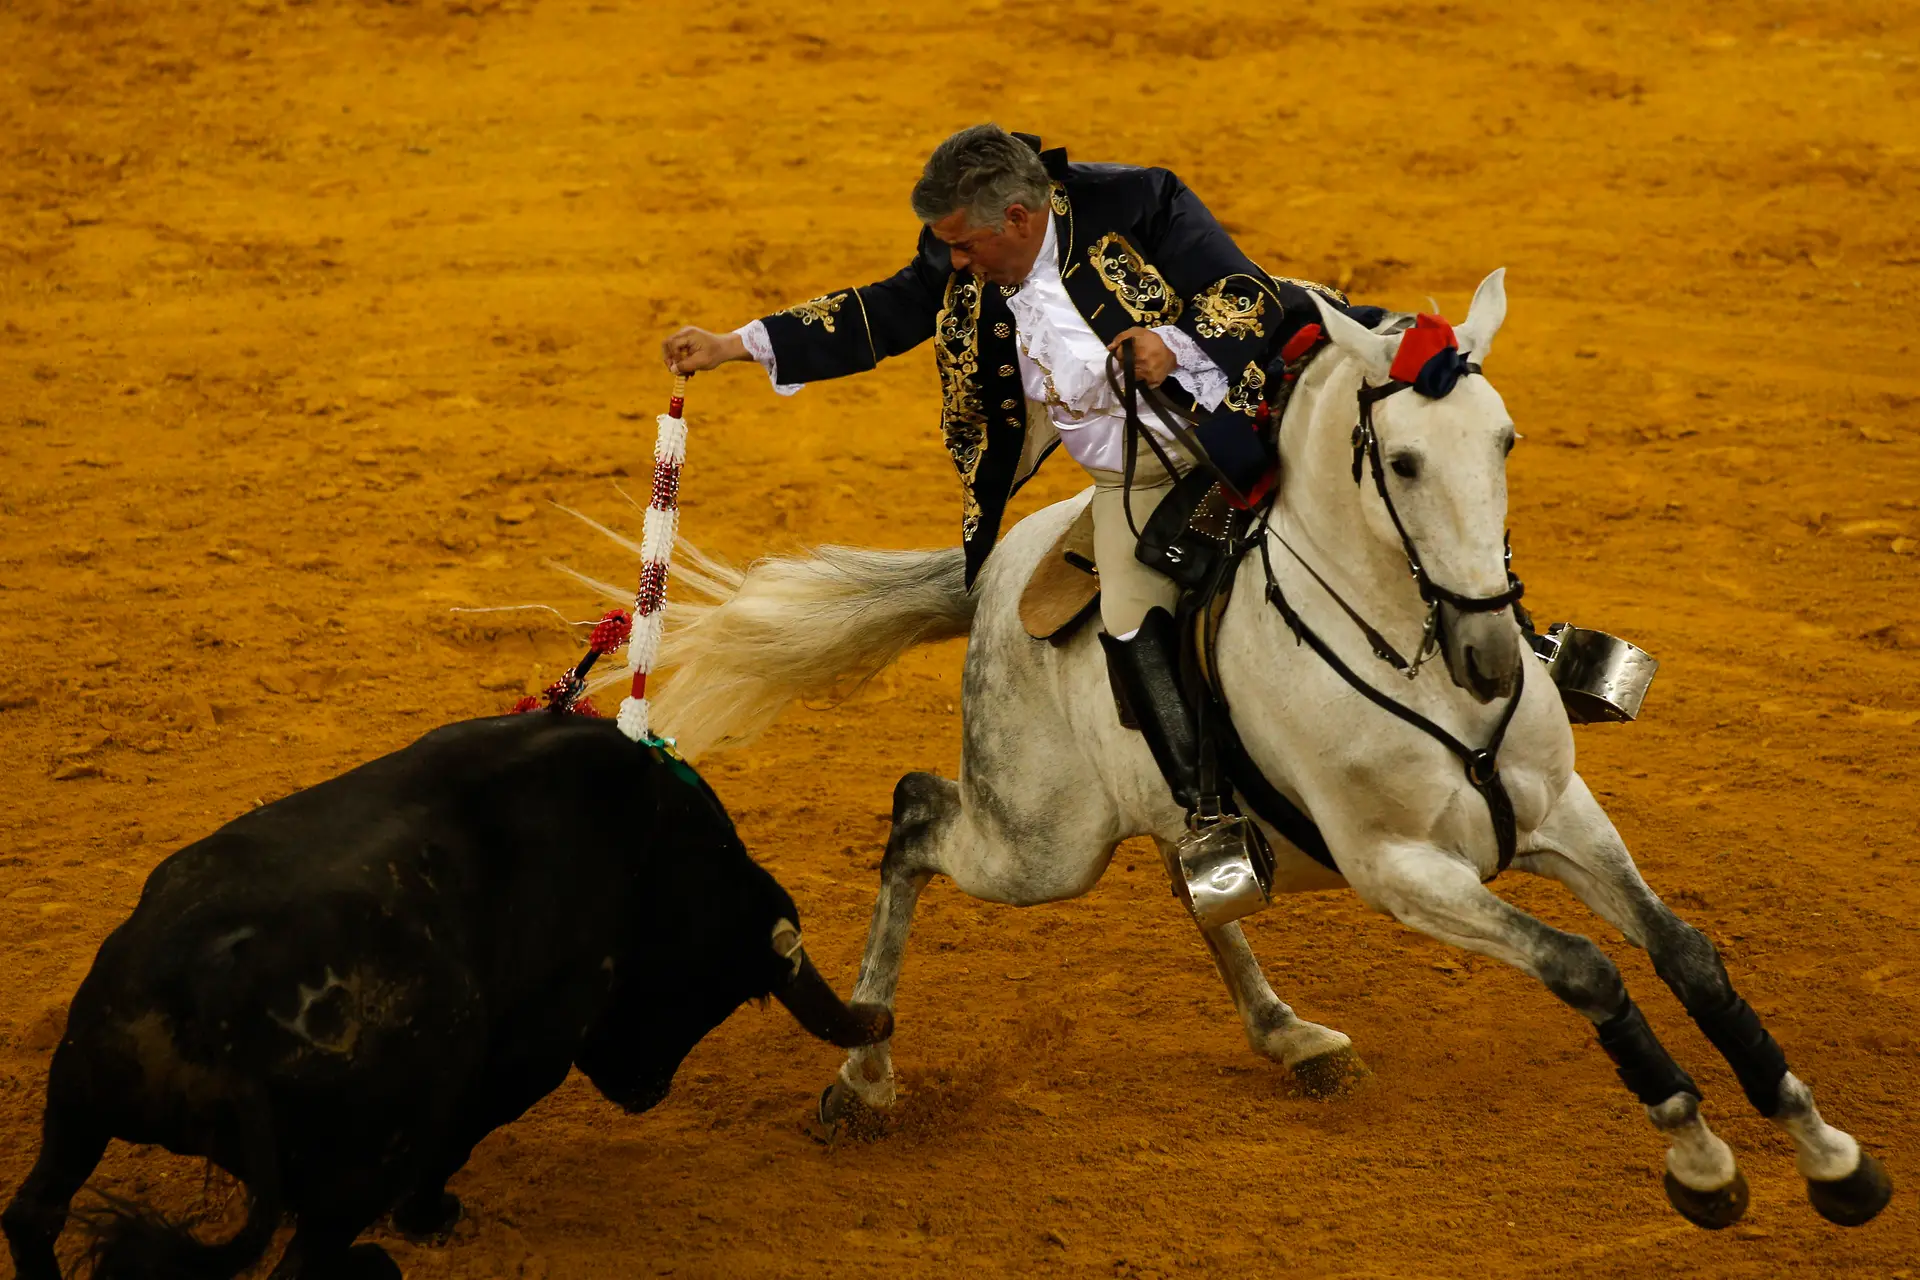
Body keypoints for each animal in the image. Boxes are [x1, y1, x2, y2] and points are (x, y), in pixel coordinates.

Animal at [0, 717, 894, 1274]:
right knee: (305, 1260)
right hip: (357, 1171)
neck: (653, 844)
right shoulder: (527, 1059)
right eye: (711, 989)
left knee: (32, 1213)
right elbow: (458, 1139)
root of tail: (216, 1002)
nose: (648, 1092)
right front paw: (431, 1218)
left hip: (75, 1097)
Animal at [641, 272, 1889, 1228]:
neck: (1413, 650)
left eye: (1506, 439)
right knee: (913, 816)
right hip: (1038, 844)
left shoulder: (1559, 816)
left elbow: (1688, 953)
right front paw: (1703, 1162)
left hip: (1157, 810)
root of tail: (996, 565)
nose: (1494, 655)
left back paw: (1294, 1035)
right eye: (1401, 461)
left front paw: (1829, 1153)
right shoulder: (1402, 868)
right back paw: (861, 1073)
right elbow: (1586, 966)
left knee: (1195, 881)